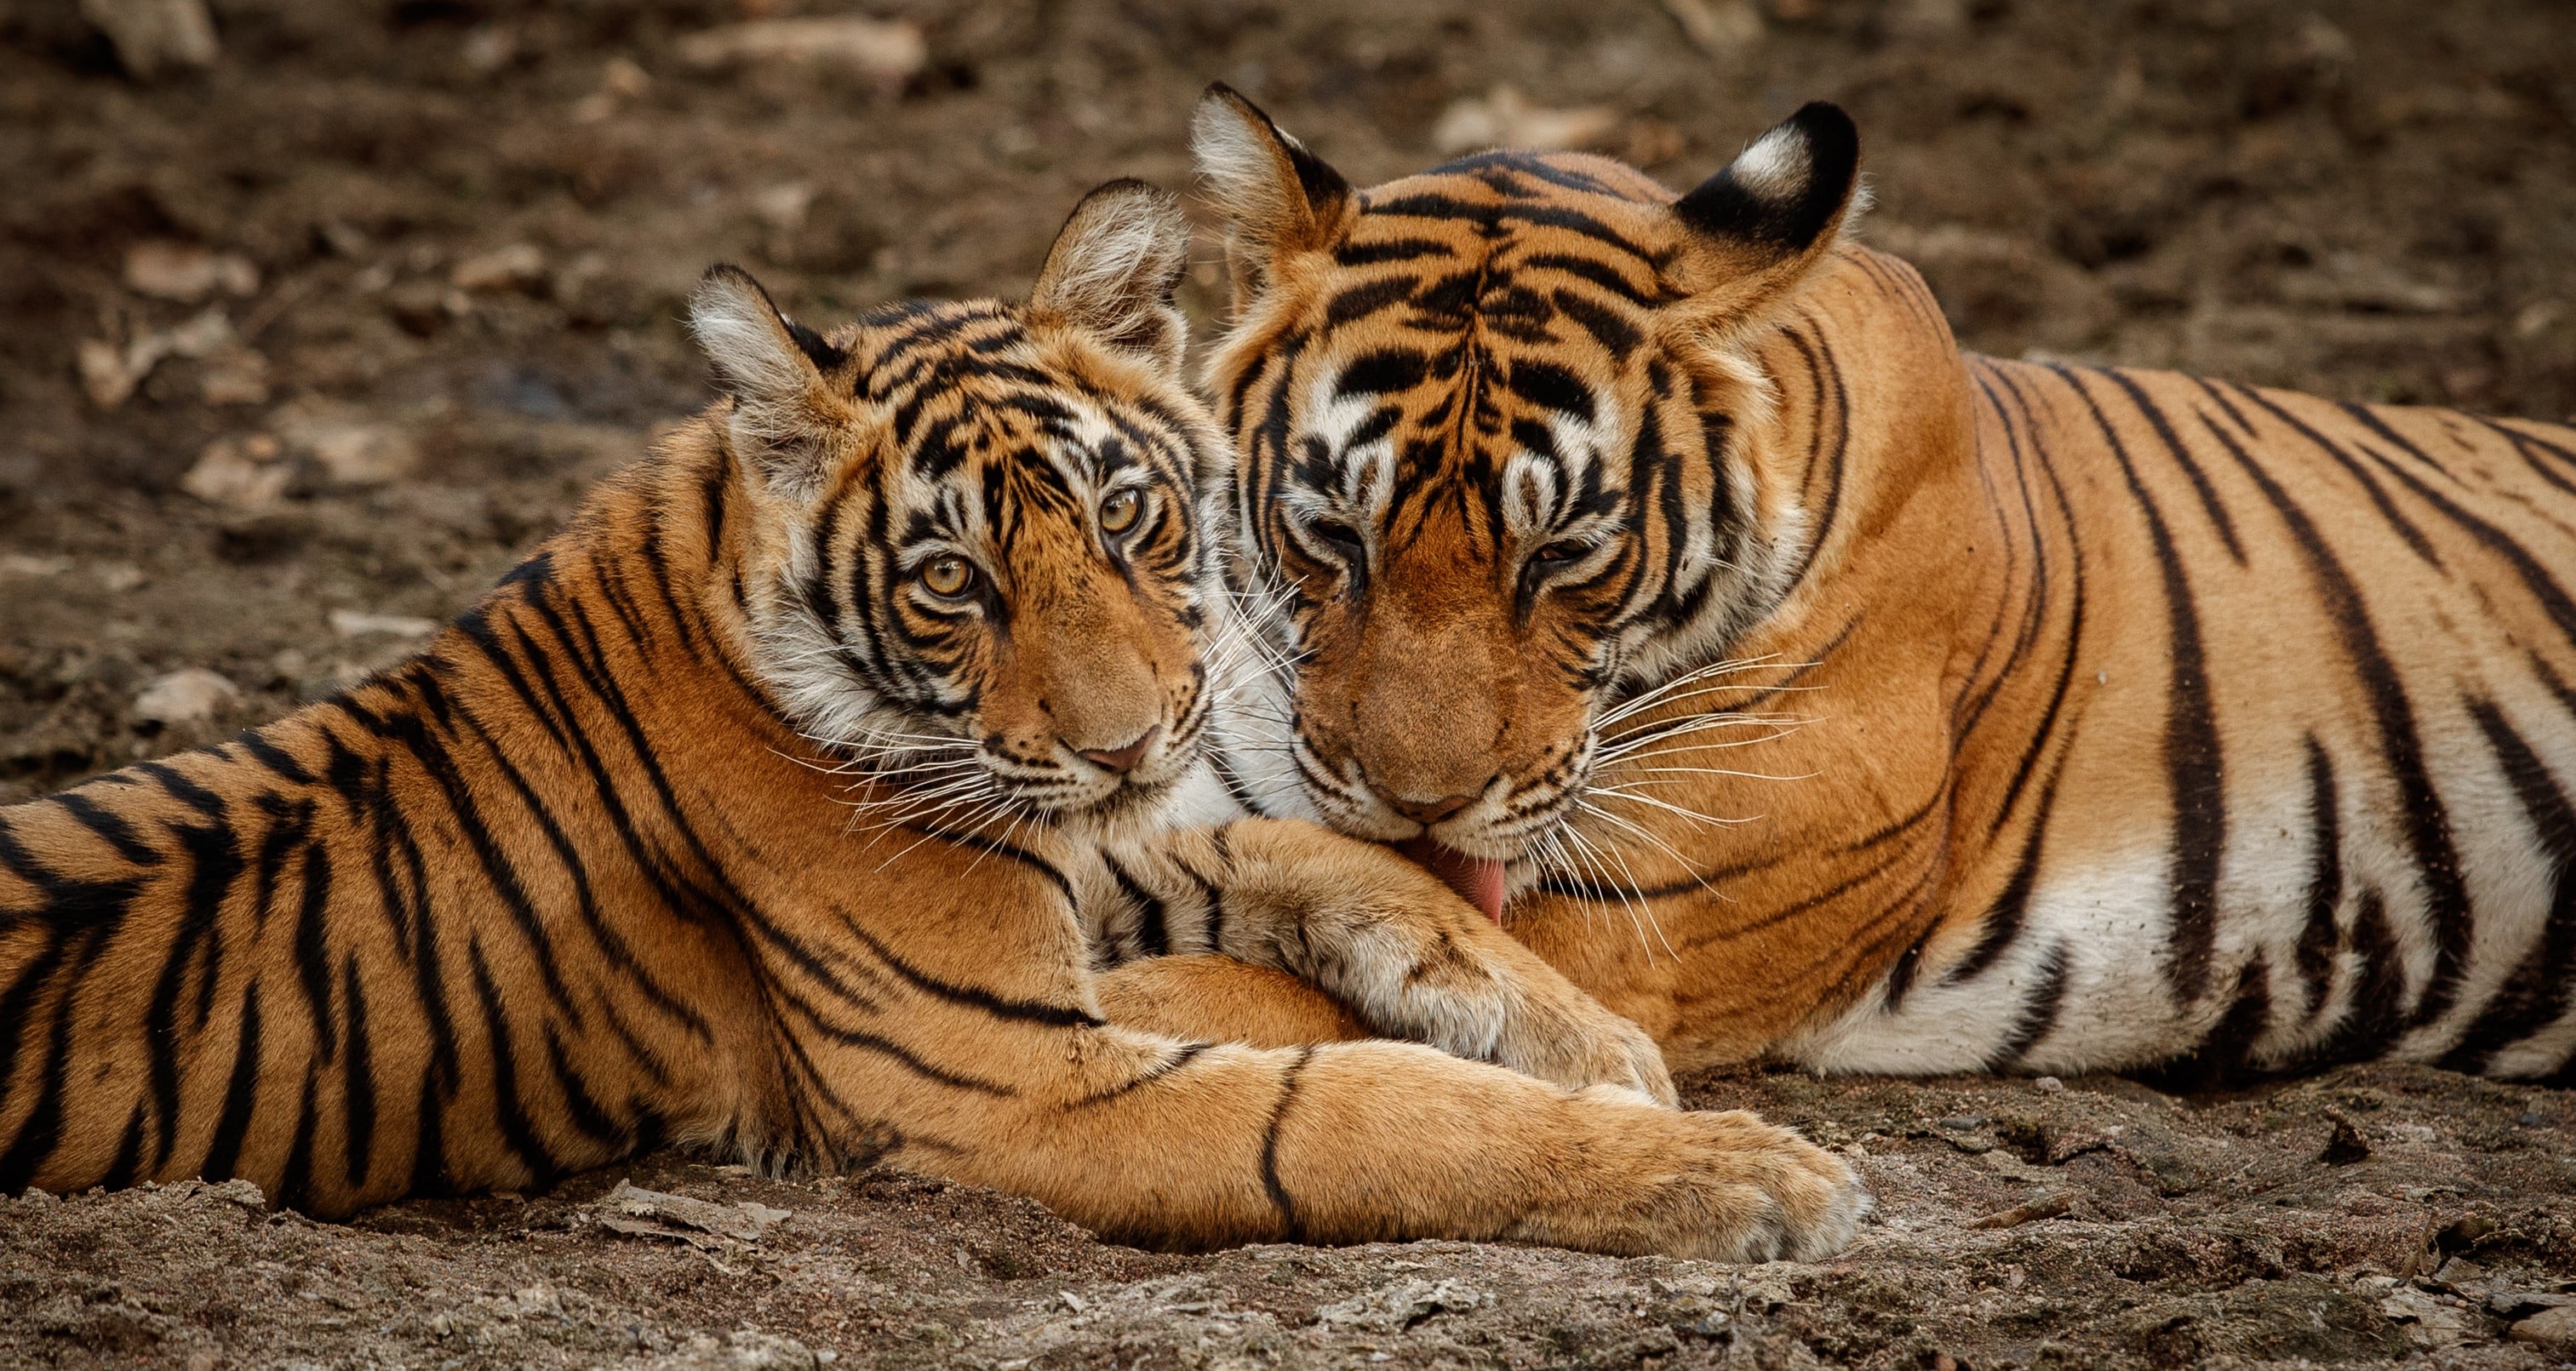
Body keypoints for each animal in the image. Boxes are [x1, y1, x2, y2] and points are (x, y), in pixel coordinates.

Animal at [0, 177, 1868, 1260]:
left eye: (1126, 518)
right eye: (953, 581)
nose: (1129, 737)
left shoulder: (1084, 852)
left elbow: (1312, 856)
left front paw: (1582, 1035)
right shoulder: (999, 1071)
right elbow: (1356, 1109)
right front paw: (1747, 1176)